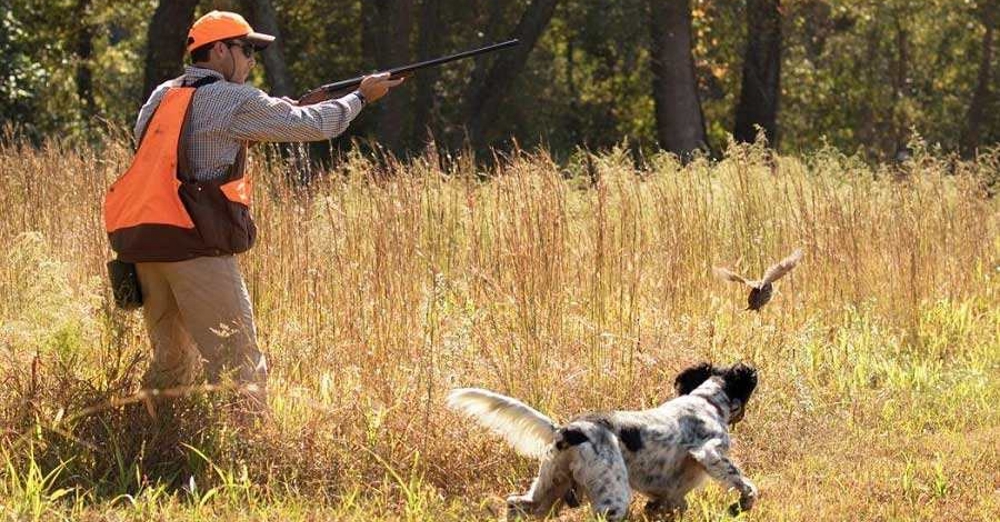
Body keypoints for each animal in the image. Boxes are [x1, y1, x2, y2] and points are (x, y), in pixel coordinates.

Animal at [446, 360, 756, 516]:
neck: (706, 400)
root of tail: (568, 430)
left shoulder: (670, 496)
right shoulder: (710, 452)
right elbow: (746, 485)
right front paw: (740, 505)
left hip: (550, 489)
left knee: (516, 503)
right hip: (612, 498)